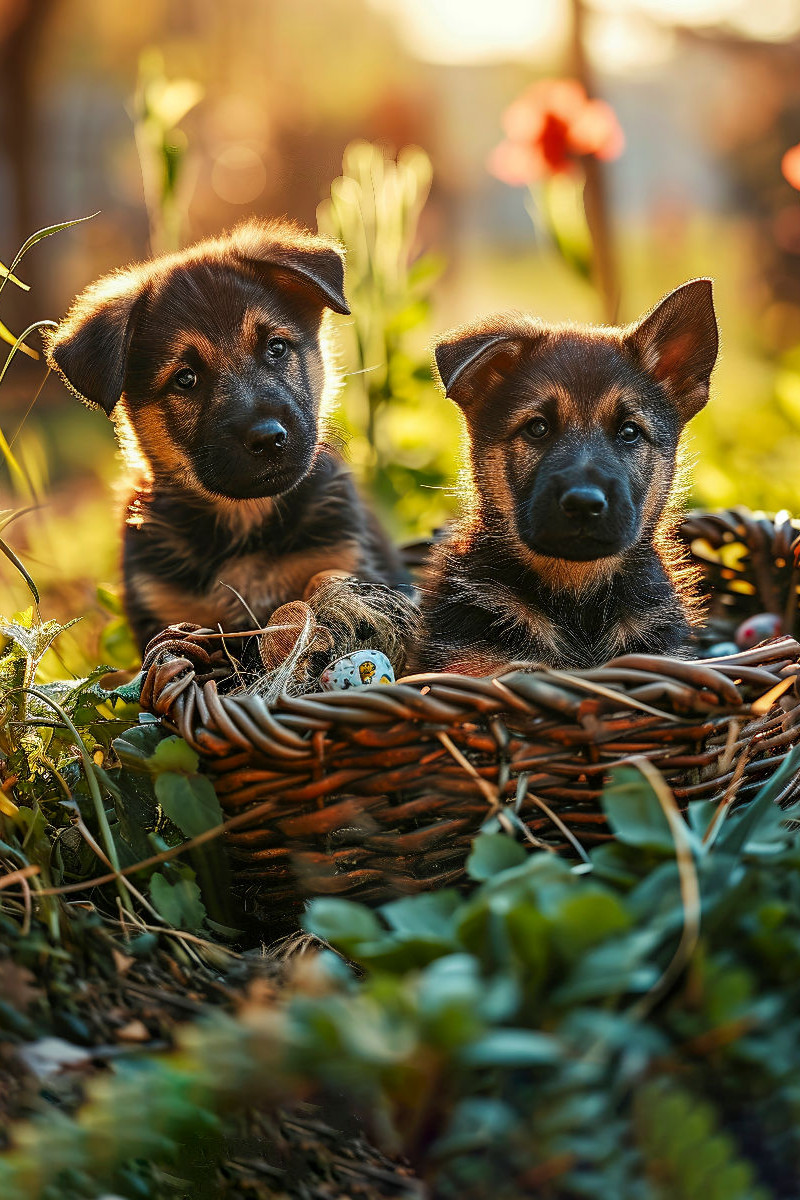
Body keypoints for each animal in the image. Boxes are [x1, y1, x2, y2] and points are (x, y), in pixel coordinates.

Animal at [47, 220, 402, 652]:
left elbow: (327, 585)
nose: (268, 439)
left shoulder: (342, 555)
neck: (246, 525)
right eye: (185, 379)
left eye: (276, 347)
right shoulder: (164, 607)